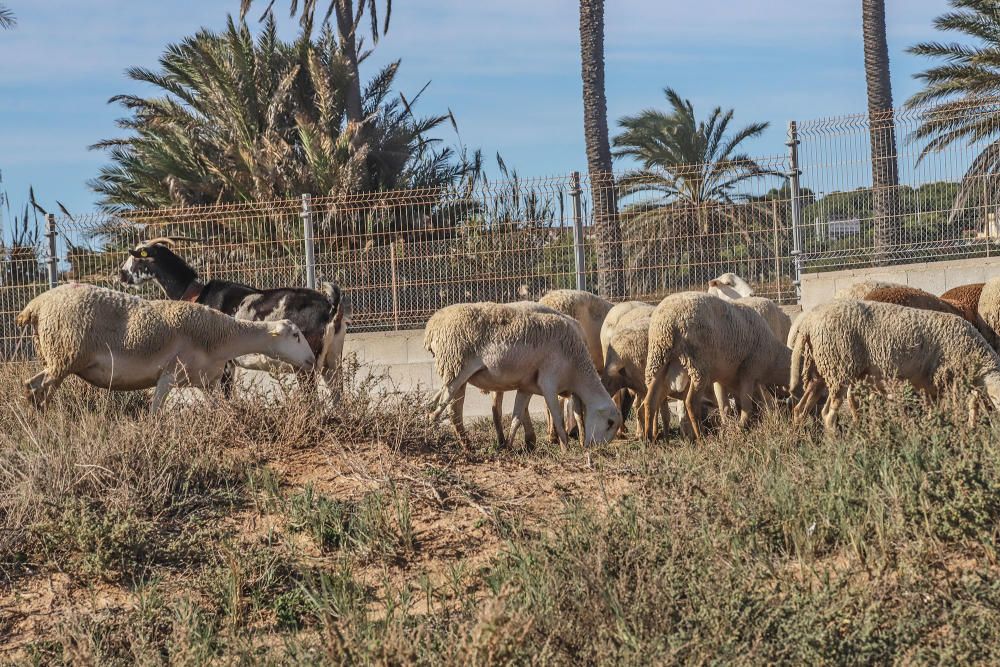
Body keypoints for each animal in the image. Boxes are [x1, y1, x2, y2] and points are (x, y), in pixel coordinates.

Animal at [17, 284, 314, 412]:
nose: (312, 360)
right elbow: (155, 412)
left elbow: (220, 409)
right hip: (64, 356)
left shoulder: (206, 382)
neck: (220, 336)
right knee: (33, 386)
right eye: (296, 335)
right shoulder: (168, 374)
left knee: (38, 389)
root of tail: (35, 305)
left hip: (57, 360)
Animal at [119, 237, 352, 392]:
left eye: (136, 256)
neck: (196, 293)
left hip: (305, 365)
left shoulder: (225, 365)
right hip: (332, 363)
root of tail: (331, 306)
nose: (121, 275)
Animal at [420, 302, 616, 448]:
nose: (597, 448)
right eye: (609, 423)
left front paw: (511, 445)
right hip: (456, 368)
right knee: (443, 408)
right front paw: (565, 446)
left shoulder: (527, 386)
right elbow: (560, 414)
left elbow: (517, 416)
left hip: (456, 372)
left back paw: (468, 444)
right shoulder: (549, 382)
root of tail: (432, 326)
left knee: (454, 410)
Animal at [640, 290, 788, 438]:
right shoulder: (748, 372)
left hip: (658, 360)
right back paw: (701, 437)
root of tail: (668, 321)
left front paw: (728, 428)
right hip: (698, 366)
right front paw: (741, 427)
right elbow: (746, 405)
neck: (774, 358)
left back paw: (648, 437)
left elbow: (726, 406)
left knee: (650, 401)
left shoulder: (721, 377)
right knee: (691, 402)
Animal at [788, 298, 1000, 434]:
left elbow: (959, 405)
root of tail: (807, 322)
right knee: (828, 415)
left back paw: (800, 437)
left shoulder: (930, 384)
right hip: (839, 365)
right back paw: (837, 443)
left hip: (822, 369)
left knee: (801, 408)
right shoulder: (947, 377)